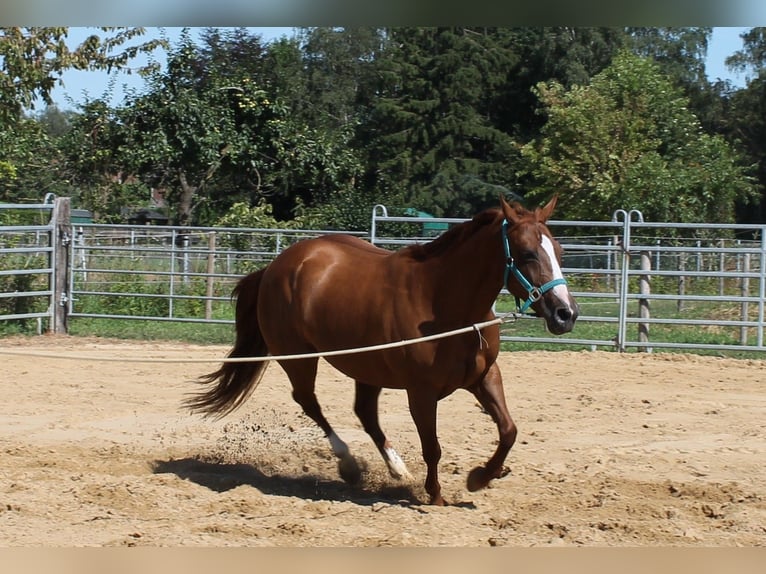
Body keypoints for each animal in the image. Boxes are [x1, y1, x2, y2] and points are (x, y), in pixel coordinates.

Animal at [186, 195, 578, 505]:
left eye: (559, 252)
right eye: (527, 254)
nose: (566, 313)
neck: (443, 303)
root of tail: (275, 267)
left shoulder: (484, 377)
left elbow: (509, 431)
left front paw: (480, 477)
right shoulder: (421, 392)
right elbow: (433, 446)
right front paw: (435, 496)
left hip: (366, 367)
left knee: (364, 413)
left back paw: (397, 468)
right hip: (297, 358)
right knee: (309, 401)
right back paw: (348, 463)